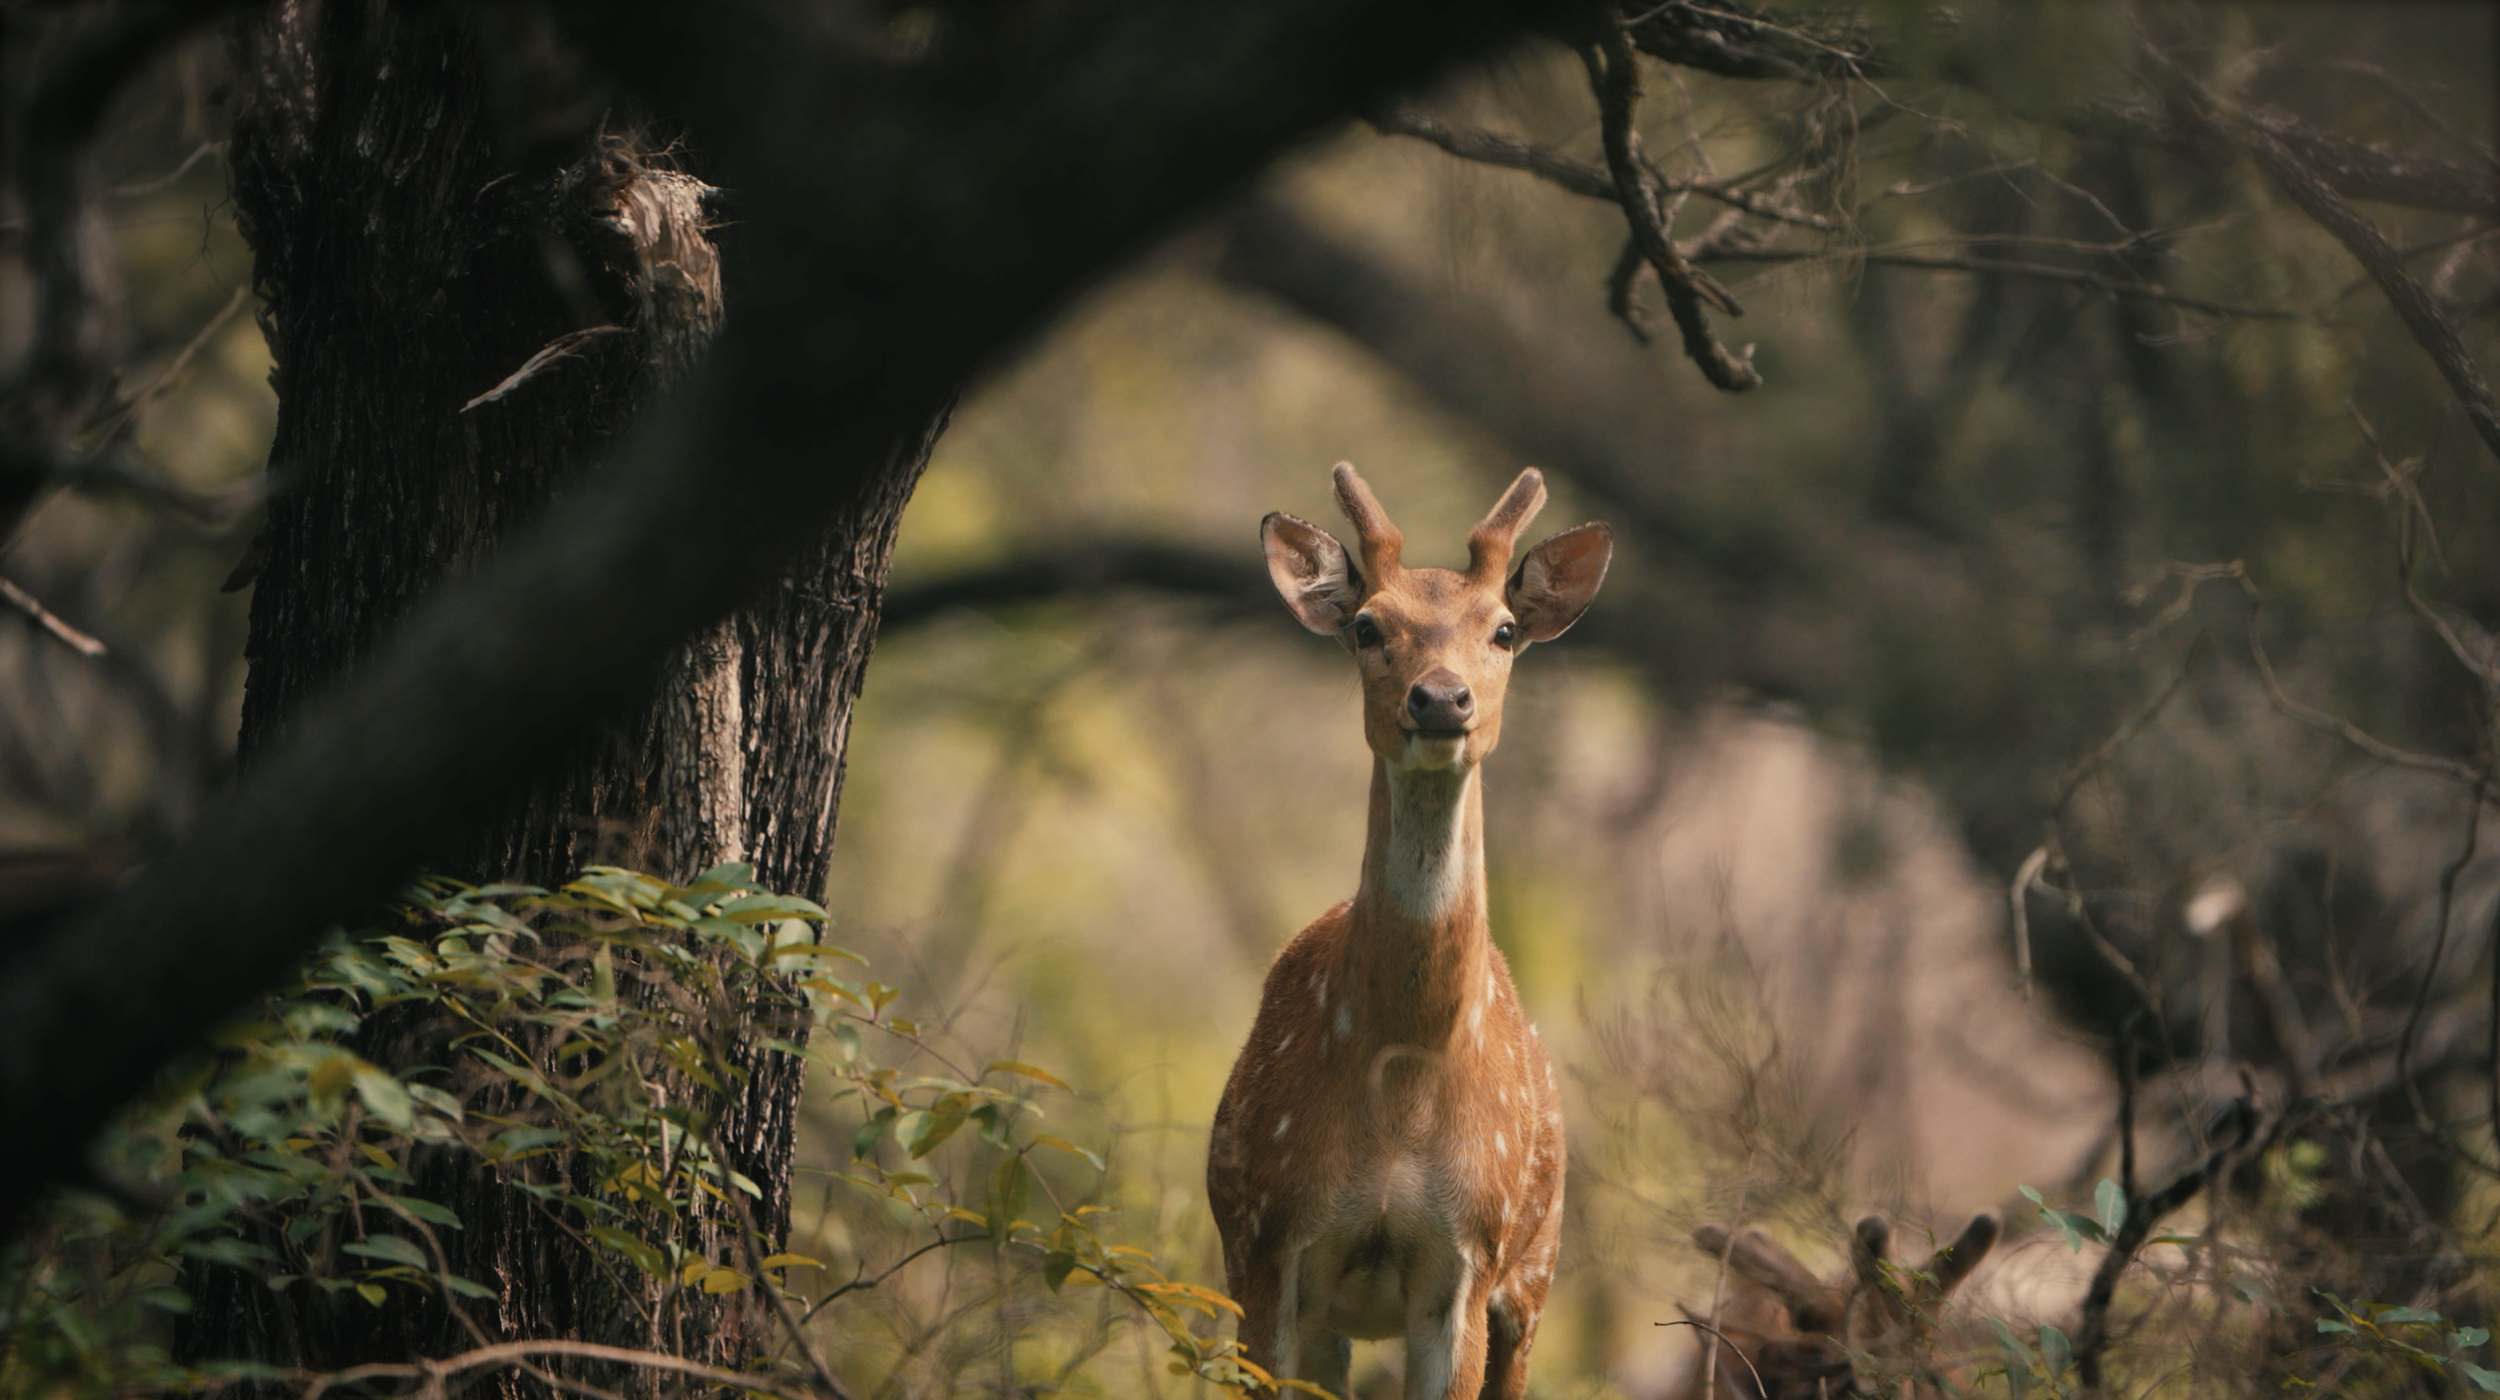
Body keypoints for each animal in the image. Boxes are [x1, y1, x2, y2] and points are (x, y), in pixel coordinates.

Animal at [1205, 462, 1612, 1400]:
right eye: (1367, 626)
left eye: (1504, 630)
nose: (1440, 698)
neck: (1401, 1078)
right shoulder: (1266, 1244)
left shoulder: (1465, 1259)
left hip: (1535, 1271)